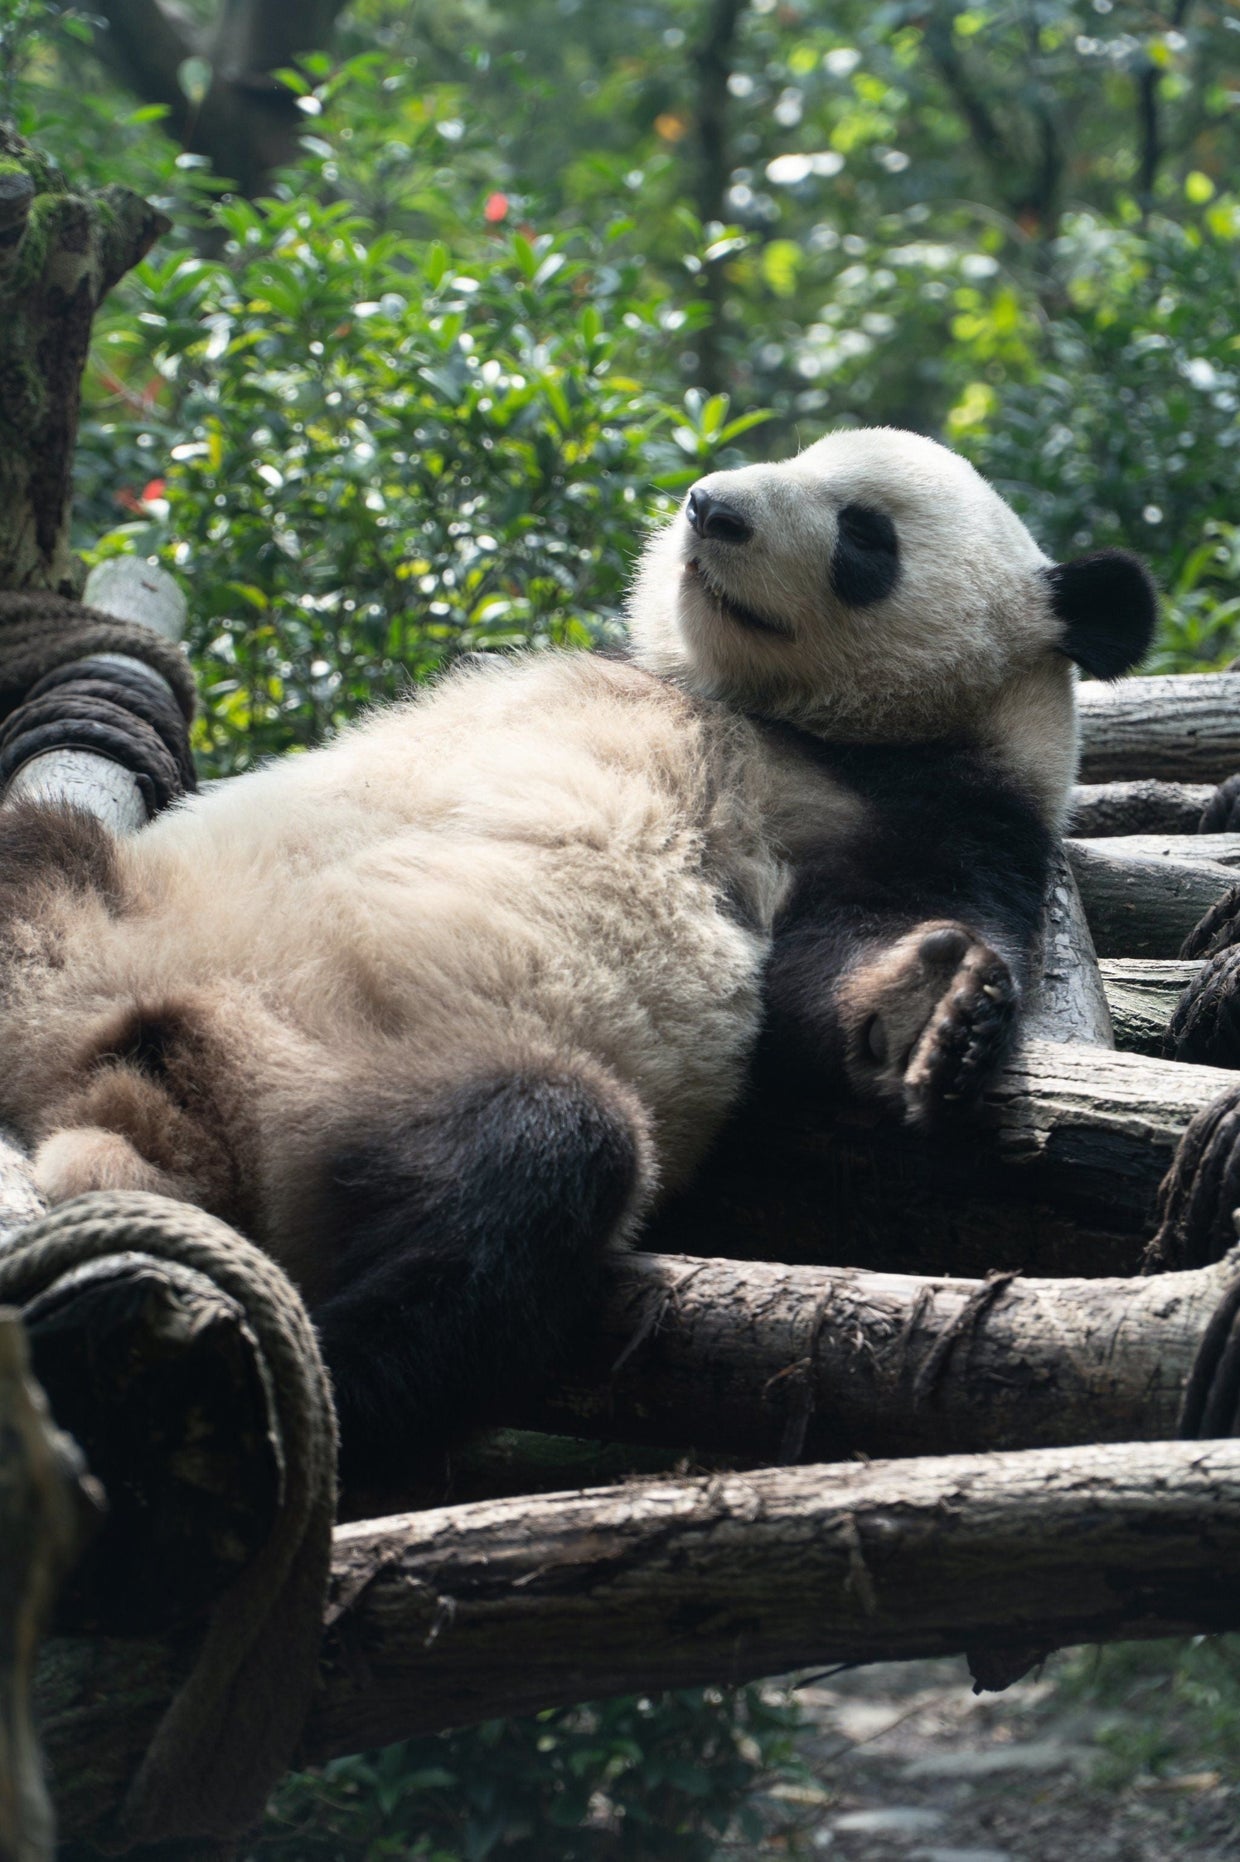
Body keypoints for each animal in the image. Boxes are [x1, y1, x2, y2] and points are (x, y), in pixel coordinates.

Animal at [0, 428, 1155, 1489]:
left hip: (372, 1094)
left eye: (865, 534)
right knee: (40, 849)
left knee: (526, 1181)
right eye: (788, 454)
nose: (710, 507)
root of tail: (137, 1100)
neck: (774, 714)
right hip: (104, 912)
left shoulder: (939, 806)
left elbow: (844, 958)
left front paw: (932, 1005)